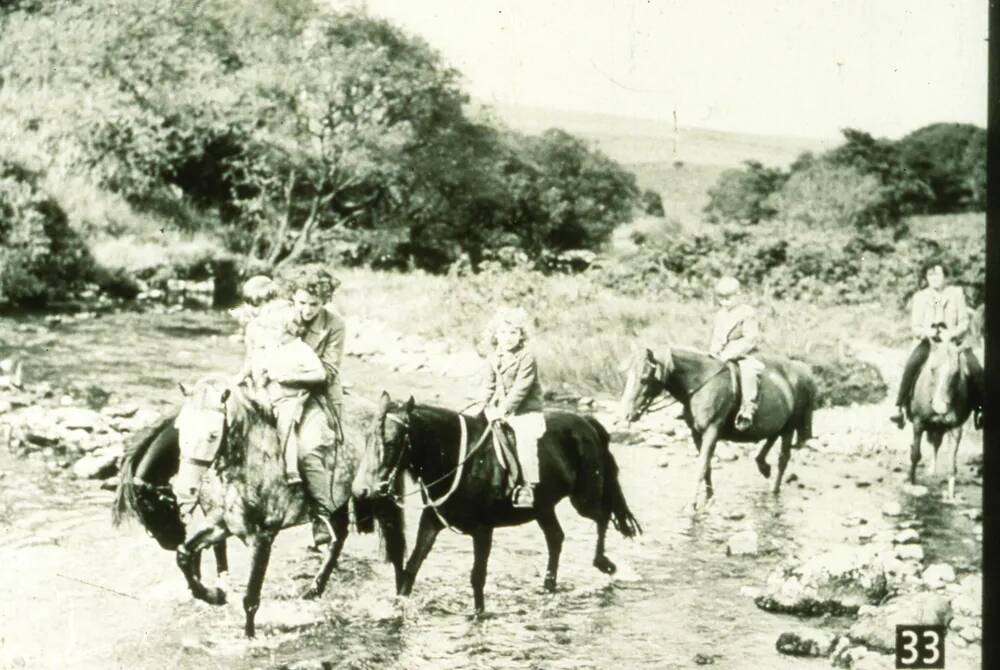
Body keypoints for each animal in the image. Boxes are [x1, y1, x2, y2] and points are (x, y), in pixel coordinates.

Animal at [112, 378, 402, 640]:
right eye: (181, 430)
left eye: (213, 435)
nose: (185, 489)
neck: (248, 460)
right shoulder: (220, 525)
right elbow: (187, 555)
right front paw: (212, 594)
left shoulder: (262, 538)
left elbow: (250, 597)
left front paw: (249, 638)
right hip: (337, 504)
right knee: (338, 537)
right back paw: (313, 590)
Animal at [352, 394, 640, 620]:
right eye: (367, 439)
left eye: (391, 443)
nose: (361, 490)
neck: (457, 456)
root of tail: (587, 423)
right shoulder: (431, 521)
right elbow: (411, 567)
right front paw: (396, 607)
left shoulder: (483, 530)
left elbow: (477, 576)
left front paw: (478, 614)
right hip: (543, 507)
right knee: (556, 537)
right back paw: (548, 586)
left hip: (584, 499)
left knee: (602, 517)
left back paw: (603, 563)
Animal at [620, 350, 816, 512]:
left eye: (644, 378)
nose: (627, 414)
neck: (702, 381)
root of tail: (803, 370)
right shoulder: (697, 434)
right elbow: (707, 467)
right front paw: (709, 498)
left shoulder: (711, 431)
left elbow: (701, 466)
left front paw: (692, 504)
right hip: (780, 424)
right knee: (772, 437)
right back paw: (763, 465)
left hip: (790, 426)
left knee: (783, 459)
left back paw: (773, 489)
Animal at [908, 342, 968, 498]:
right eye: (932, 369)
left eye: (956, 373)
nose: (940, 406)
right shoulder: (918, 423)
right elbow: (915, 454)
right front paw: (911, 482)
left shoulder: (955, 429)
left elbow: (951, 465)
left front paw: (951, 495)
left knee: (935, 444)